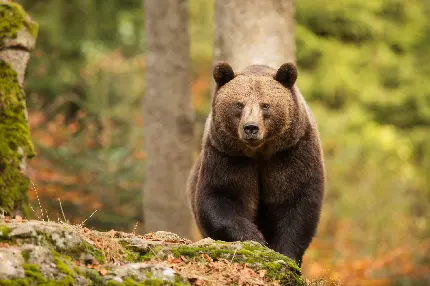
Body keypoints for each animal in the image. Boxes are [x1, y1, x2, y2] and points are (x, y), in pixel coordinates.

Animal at [186, 61, 324, 268]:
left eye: (265, 105)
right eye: (239, 104)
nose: (251, 127)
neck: (259, 152)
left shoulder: (291, 154)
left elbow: (296, 203)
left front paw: (286, 254)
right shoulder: (228, 157)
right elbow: (220, 198)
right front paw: (255, 237)